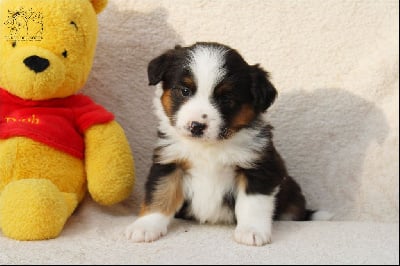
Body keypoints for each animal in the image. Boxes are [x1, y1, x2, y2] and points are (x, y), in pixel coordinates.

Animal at [126, 42, 320, 246]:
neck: (209, 146)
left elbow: (253, 203)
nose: (196, 126)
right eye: (185, 91)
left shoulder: (259, 167)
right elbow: (160, 194)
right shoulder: (169, 162)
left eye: (226, 99)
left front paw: (252, 231)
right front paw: (145, 227)